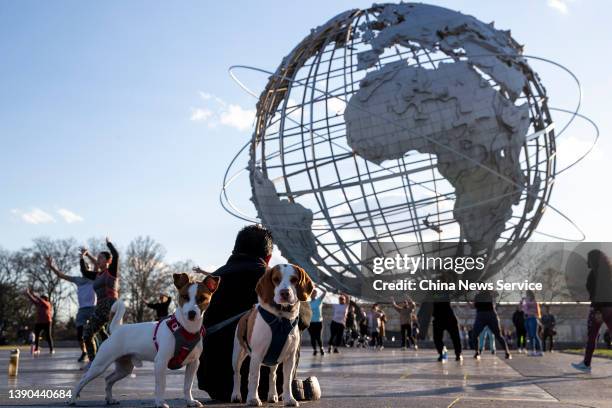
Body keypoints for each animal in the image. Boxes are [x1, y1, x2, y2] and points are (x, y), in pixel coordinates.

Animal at [68, 272, 220, 406]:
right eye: (184, 297)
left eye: (202, 299)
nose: (191, 313)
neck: (186, 329)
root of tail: (117, 329)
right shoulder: (161, 362)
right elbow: (161, 385)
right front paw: (160, 402)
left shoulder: (193, 364)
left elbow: (187, 386)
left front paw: (189, 401)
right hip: (99, 365)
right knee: (83, 379)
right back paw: (73, 399)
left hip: (125, 368)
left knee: (108, 379)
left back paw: (110, 399)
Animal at [231, 262, 314, 406]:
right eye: (276, 279)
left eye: (294, 279)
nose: (285, 293)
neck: (280, 319)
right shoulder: (256, 355)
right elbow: (254, 378)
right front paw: (253, 399)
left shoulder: (290, 357)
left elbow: (287, 380)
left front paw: (289, 399)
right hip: (237, 355)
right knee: (237, 374)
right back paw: (236, 395)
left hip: (274, 360)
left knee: (273, 375)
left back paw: (272, 395)